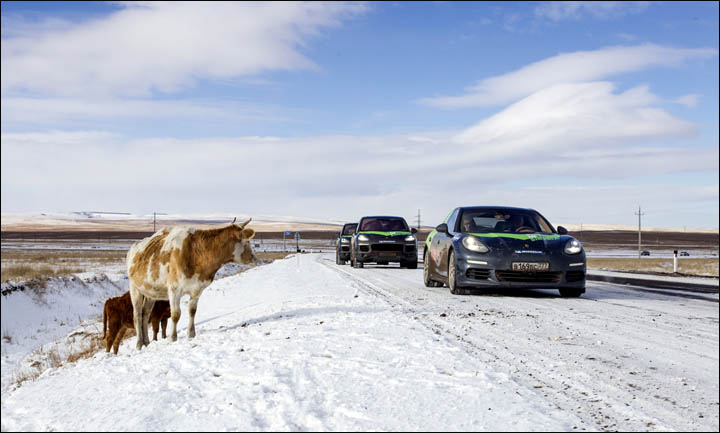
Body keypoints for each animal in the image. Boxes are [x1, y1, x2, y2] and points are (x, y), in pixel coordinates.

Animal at [127, 218, 258, 350]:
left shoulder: (197, 289)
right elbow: (176, 314)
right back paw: (139, 343)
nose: (256, 259)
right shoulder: (174, 289)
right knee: (137, 315)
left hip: (150, 292)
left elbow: (192, 310)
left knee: (145, 314)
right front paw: (172, 338)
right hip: (135, 288)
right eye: (247, 241)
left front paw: (191, 334)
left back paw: (146, 342)